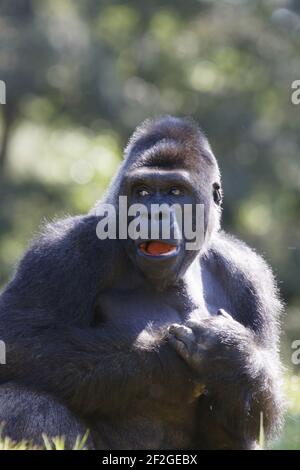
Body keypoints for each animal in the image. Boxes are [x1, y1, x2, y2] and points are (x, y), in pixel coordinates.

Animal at [0, 116, 282, 448]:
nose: (154, 213)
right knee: (26, 398)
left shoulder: (251, 277)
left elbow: (257, 412)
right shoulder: (63, 251)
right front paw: (164, 360)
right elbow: (16, 340)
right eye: (143, 192)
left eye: (175, 192)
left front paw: (230, 355)